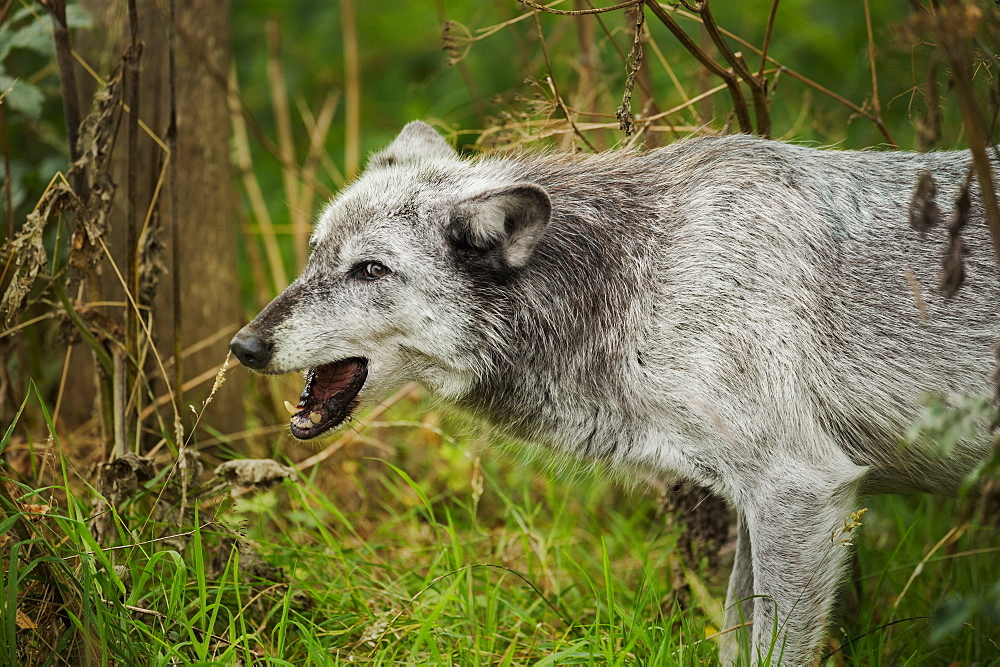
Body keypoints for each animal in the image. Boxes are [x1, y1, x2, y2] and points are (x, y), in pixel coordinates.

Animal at [230, 122, 996, 664]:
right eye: (314, 255)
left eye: (370, 270)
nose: (243, 346)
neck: (639, 282)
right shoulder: (761, 501)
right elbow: (733, 643)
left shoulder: (801, 488)